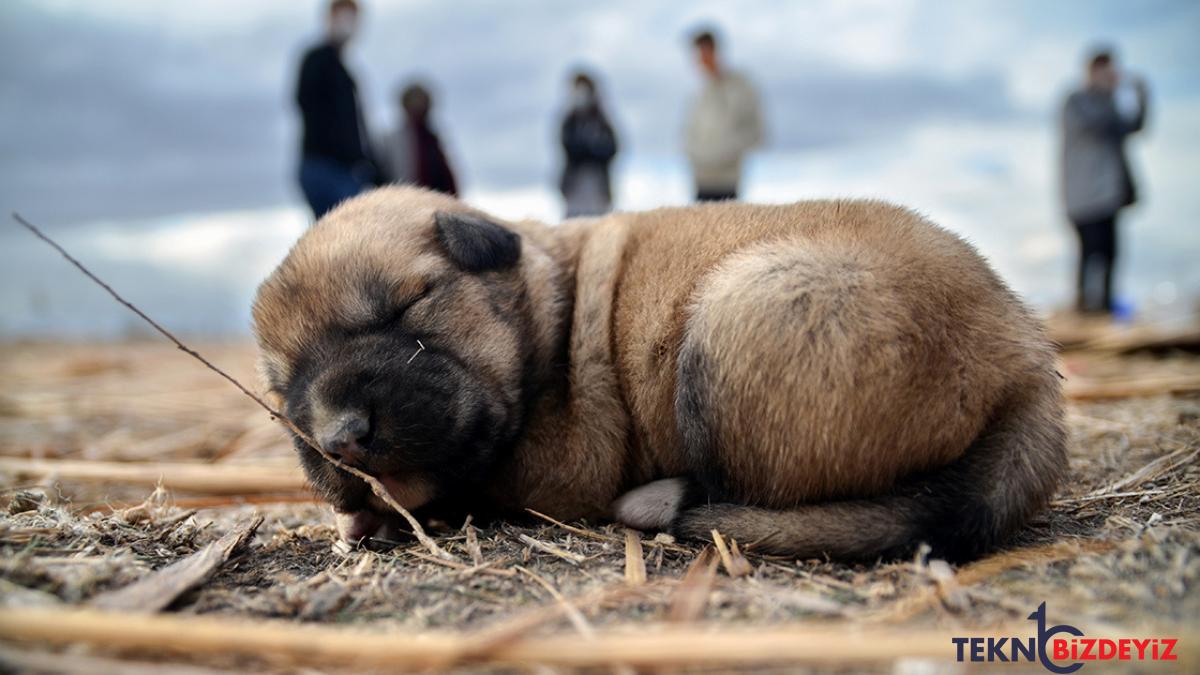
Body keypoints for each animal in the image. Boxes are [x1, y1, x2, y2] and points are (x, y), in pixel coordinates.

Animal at [250, 186, 1060, 559]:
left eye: (406, 305)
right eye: (282, 387)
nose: (340, 439)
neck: (547, 300)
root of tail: (1028, 359)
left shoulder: (563, 462)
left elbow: (472, 485)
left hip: (743, 316)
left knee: (748, 490)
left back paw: (655, 502)